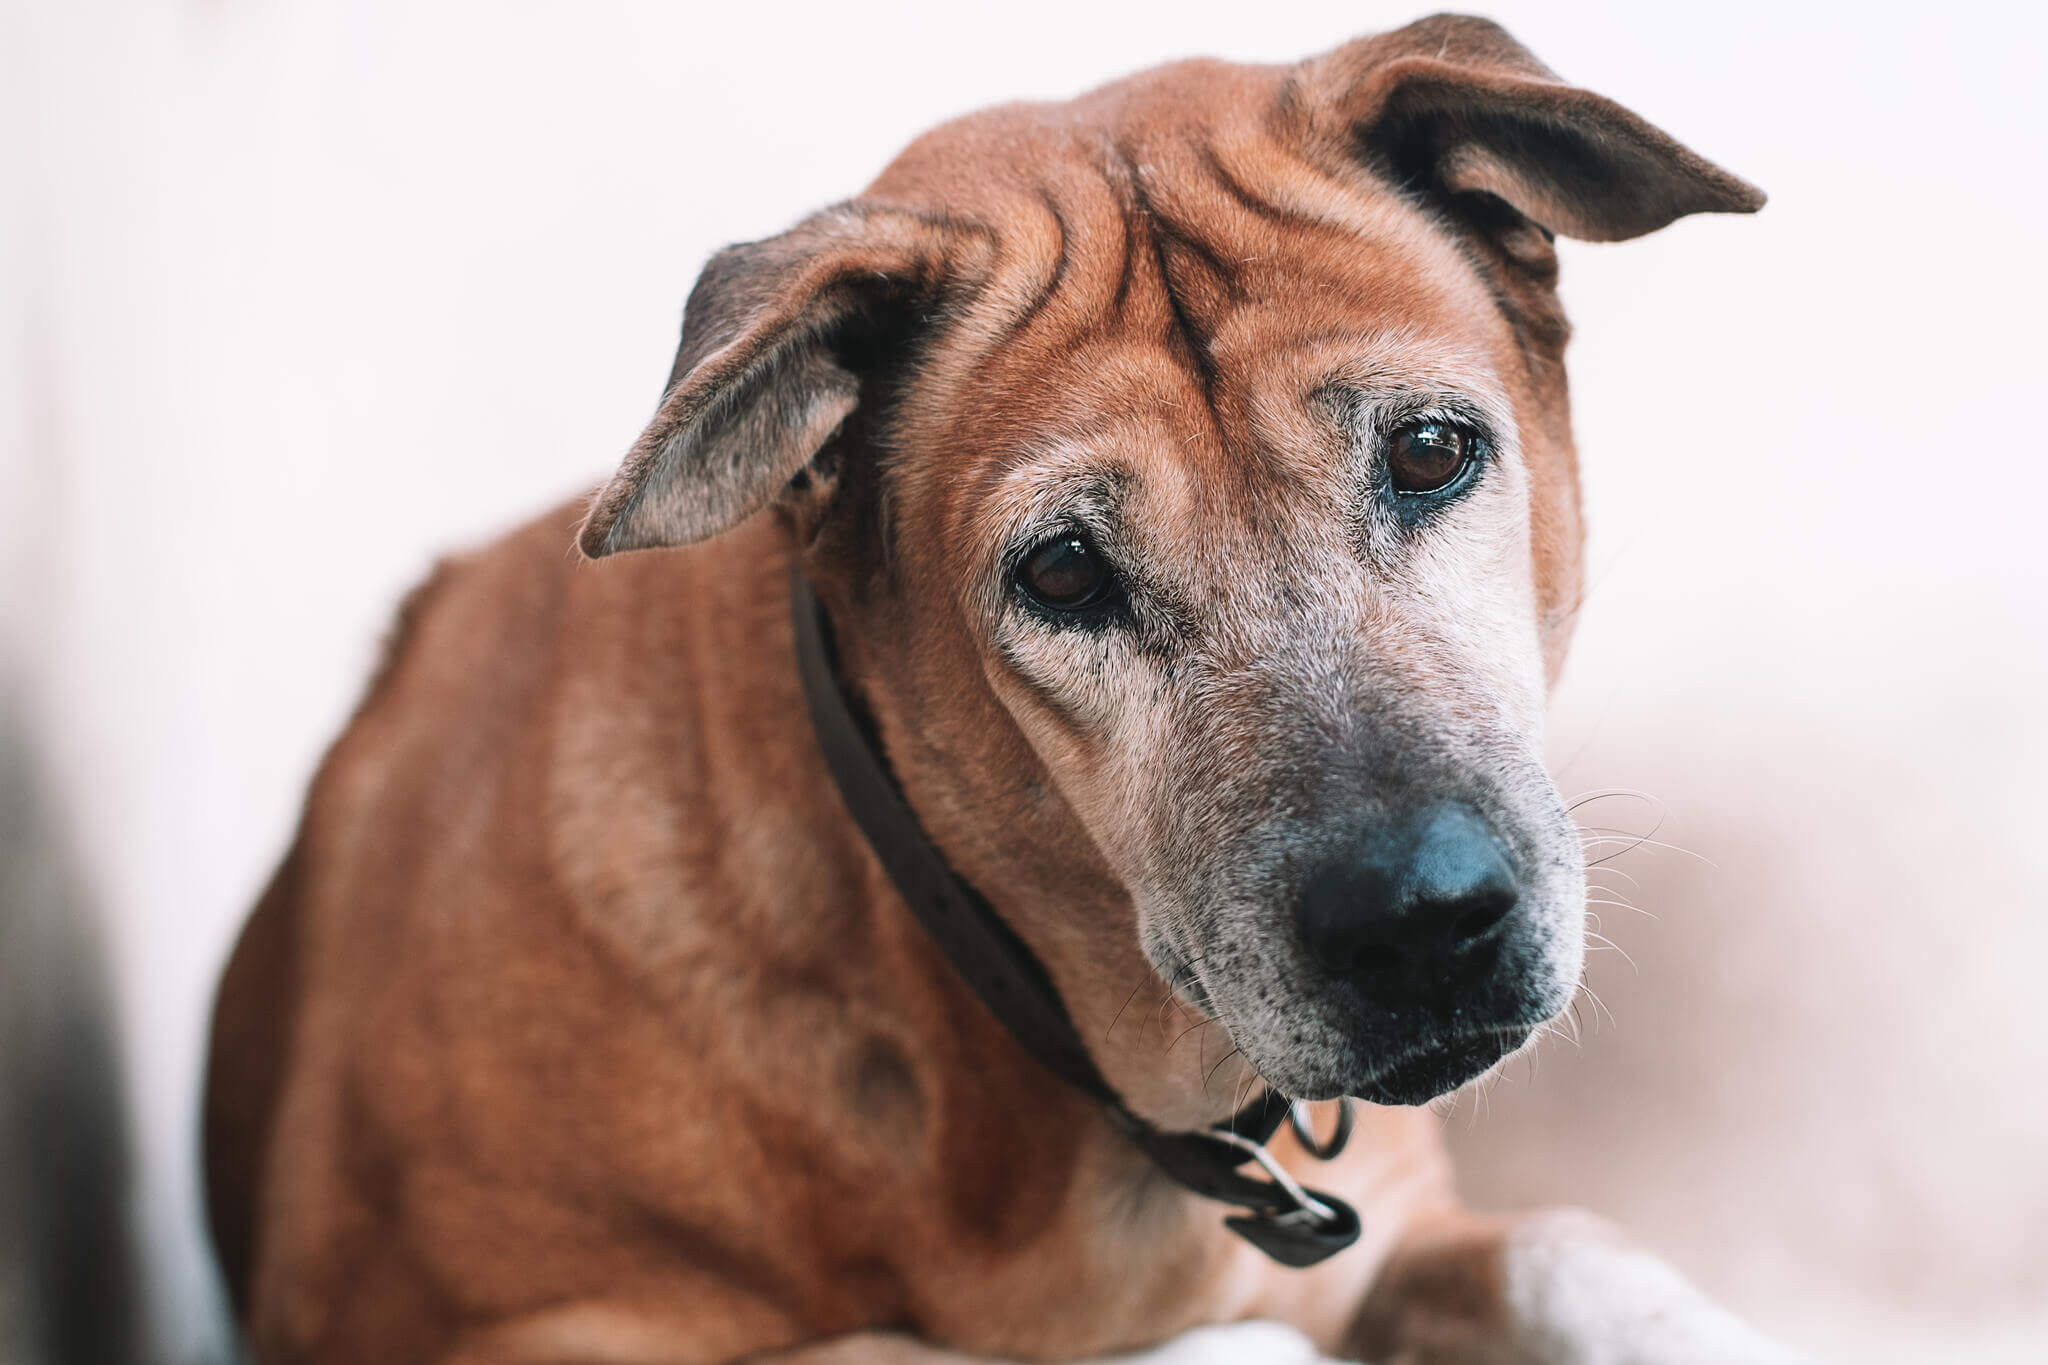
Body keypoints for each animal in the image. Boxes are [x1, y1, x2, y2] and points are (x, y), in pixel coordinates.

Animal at [203, 13, 1810, 1365]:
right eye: (1062, 574)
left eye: (1428, 450)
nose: (1422, 925)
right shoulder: (499, 1335)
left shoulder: (1413, 1232)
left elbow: (1568, 1252)